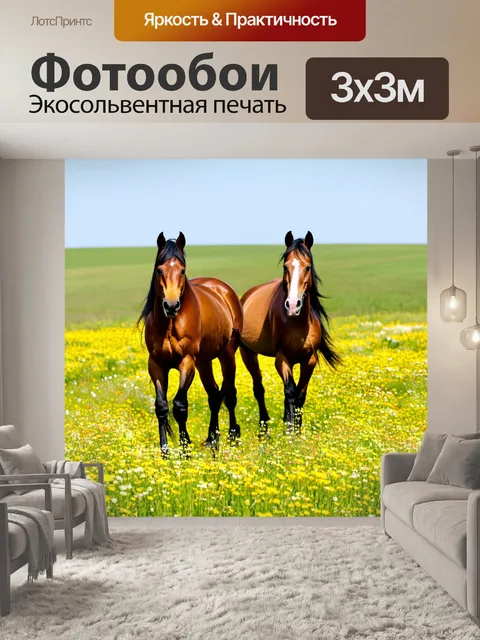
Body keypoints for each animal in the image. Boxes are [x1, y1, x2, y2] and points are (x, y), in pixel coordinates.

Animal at [138, 232, 244, 455]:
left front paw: (185, 449)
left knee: (229, 395)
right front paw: (165, 452)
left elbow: (180, 406)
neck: (170, 323)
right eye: (159, 270)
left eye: (182, 270)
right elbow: (161, 406)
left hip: (227, 354)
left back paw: (232, 437)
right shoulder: (156, 364)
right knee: (214, 395)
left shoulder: (186, 361)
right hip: (204, 362)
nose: (171, 305)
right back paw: (213, 439)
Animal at [240, 231, 341, 435]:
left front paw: (296, 430)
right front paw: (289, 432)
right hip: (248, 353)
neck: (297, 321)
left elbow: (300, 394)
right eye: (286, 266)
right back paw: (264, 432)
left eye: (308, 267)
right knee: (259, 389)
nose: (293, 305)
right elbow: (290, 392)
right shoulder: (282, 358)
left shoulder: (309, 359)